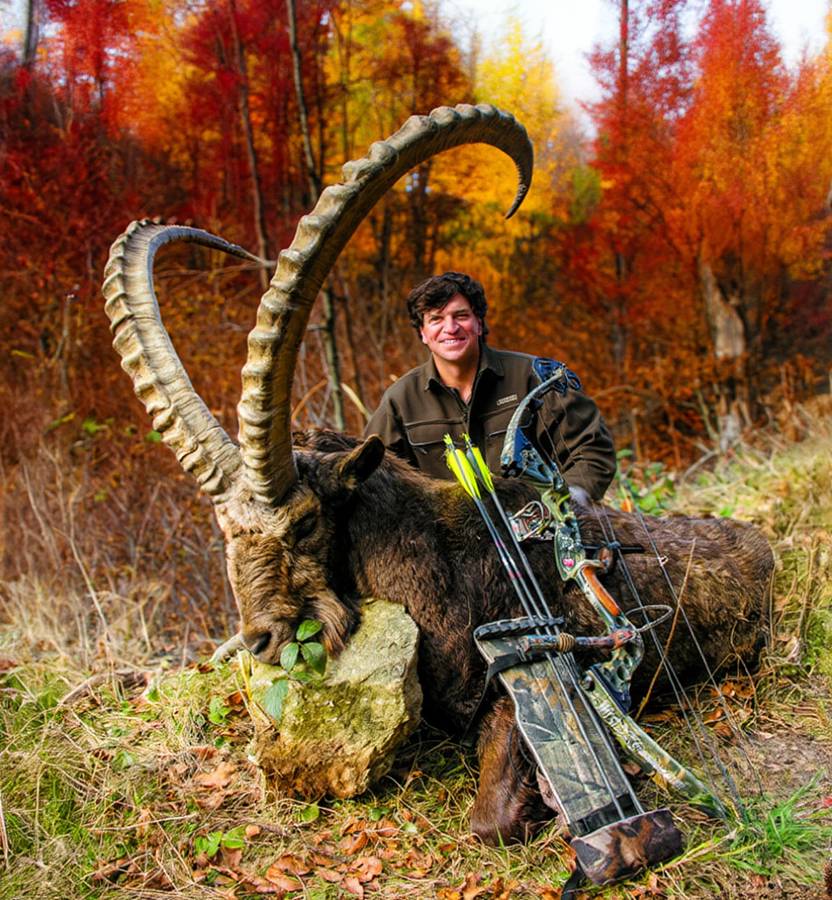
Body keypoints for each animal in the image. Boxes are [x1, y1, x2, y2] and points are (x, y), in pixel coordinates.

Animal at [102, 105, 773, 845]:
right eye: (225, 527)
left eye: (305, 523)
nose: (262, 639)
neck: (423, 549)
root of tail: (768, 549)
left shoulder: (520, 677)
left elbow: (489, 818)